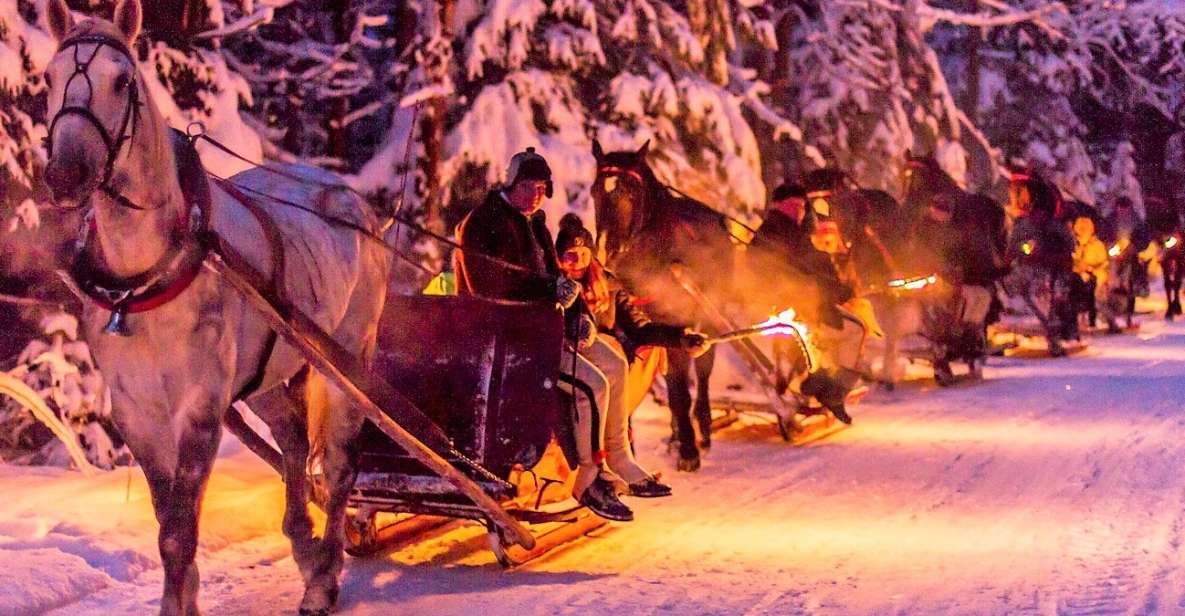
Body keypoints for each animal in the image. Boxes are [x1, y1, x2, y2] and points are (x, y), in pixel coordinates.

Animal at [37, 2, 386, 611]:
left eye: (122, 80)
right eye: (49, 79)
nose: (65, 174)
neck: (142, 283)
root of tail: (350, 198)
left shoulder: (200, 409)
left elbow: (179, 533)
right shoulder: (137, 415)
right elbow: (167, 525)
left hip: (345, 360)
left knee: (341, 466)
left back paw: (324, 576)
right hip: (268, 373)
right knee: (294, 445)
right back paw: (303, 544)